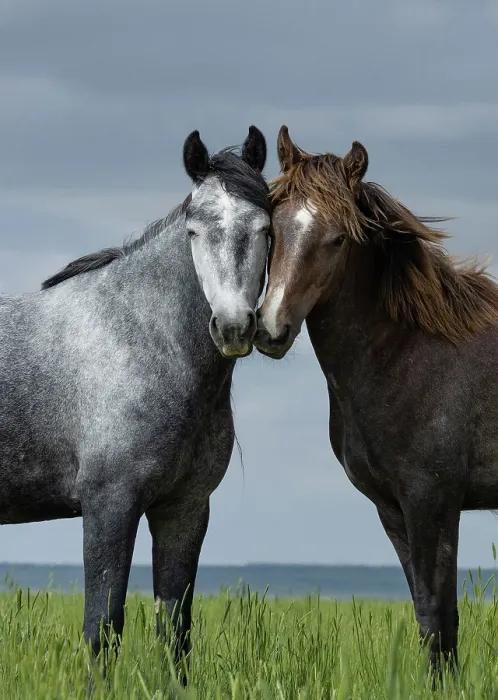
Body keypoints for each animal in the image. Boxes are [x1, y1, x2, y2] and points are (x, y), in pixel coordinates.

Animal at [0, 126, 270, 678]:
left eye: (265, 228)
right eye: (194, 230)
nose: (233, 327)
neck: (139, 339)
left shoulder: (184, 509)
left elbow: (174, 630)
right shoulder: (110, 504)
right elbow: (102, 627)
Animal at [255, 125, 498, 672]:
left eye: (338, 238)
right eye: (272, 230)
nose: (271, 329)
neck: (407, 354)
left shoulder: (432, 502)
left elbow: (439, 616)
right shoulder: (392, 509)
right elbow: (428, 619)